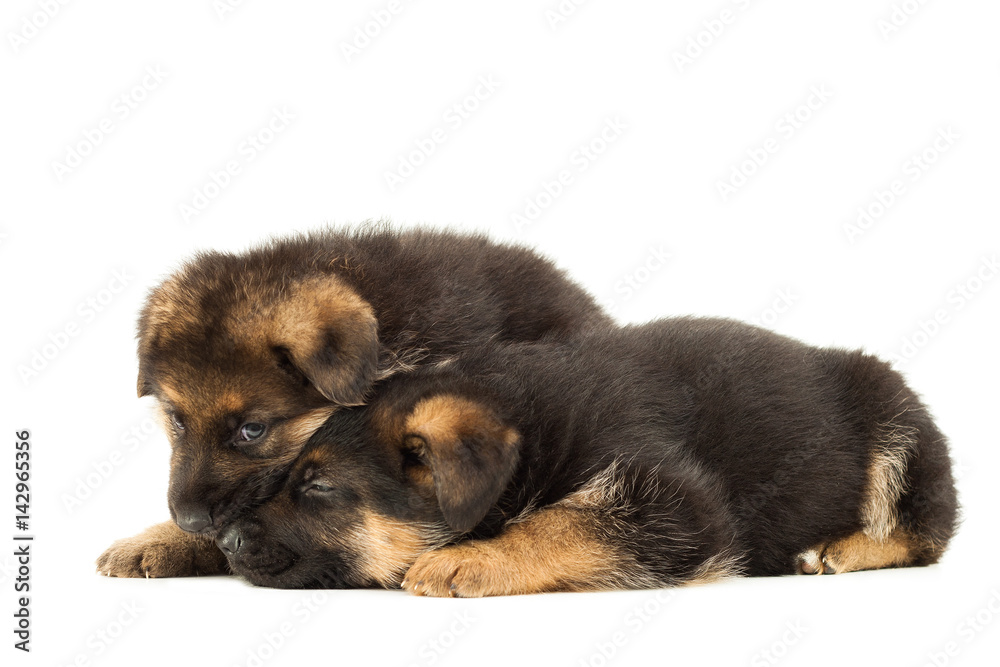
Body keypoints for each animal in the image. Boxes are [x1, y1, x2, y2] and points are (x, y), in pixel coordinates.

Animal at [221, 318, 960, 596]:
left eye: (318, 487)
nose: (223, 540)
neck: (528, 425)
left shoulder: (679, 506)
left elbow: (563, 520)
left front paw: (475, 557)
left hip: (898, 427)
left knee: (923, 534)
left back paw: (838, 549)